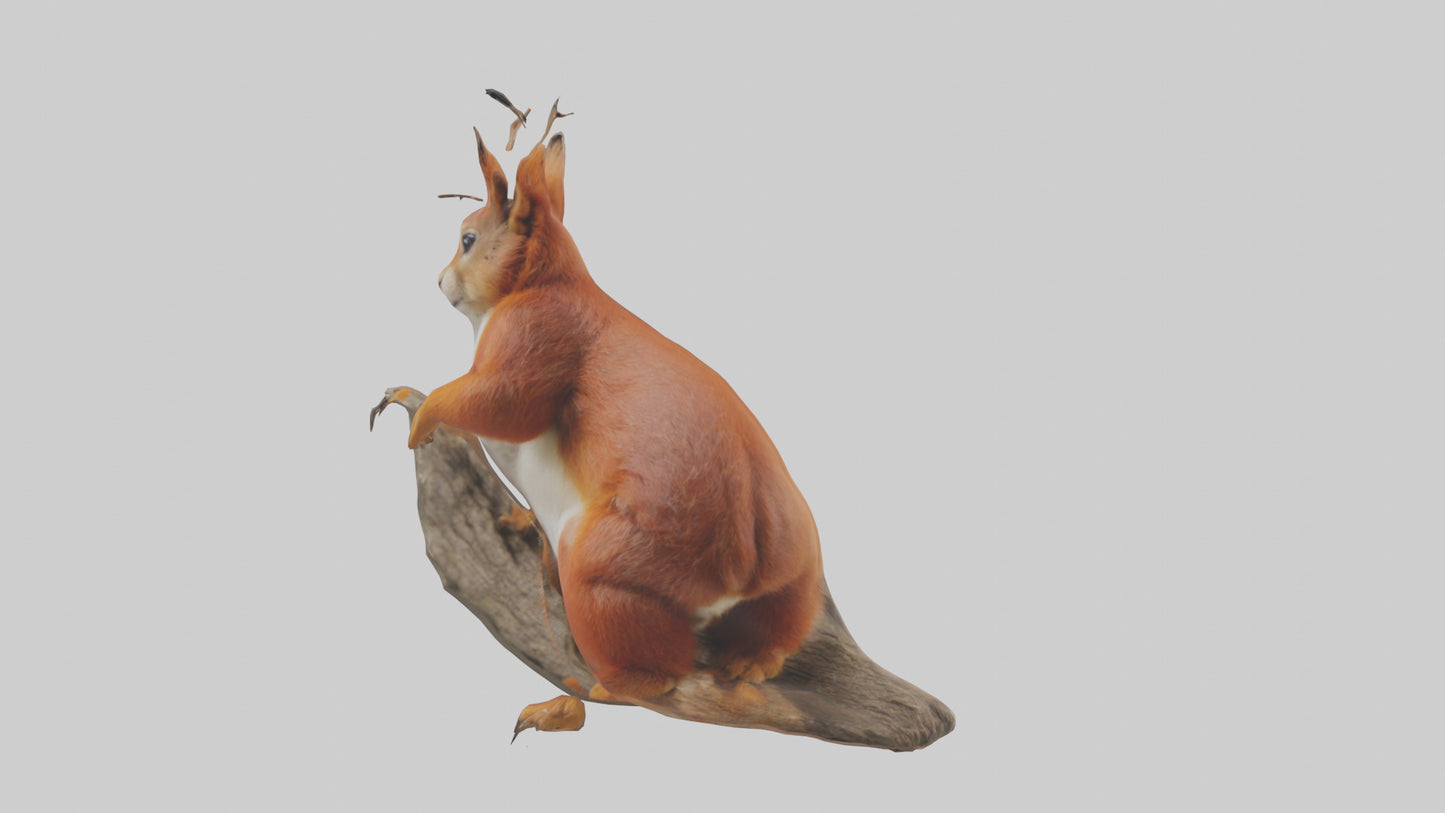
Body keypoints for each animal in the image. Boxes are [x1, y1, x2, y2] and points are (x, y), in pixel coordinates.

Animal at [408, 130, 823, 701]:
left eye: (468, 240)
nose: (439, 281)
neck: (545, 281)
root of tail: (742, 564)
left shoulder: (534, 332)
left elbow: (504, 405)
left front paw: (422, 415)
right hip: (800, 564)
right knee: (781, 620)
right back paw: (752, 663)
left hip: (605, 570)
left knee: (655, 664)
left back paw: (610, 685)